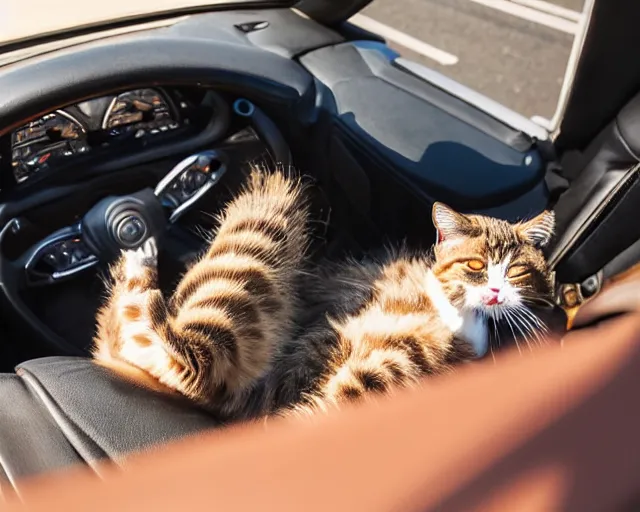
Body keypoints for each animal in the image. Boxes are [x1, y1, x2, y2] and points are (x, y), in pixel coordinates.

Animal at [94, 168, 556, 420]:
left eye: (517, 270)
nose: (495, 290)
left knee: (182, 357)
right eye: (476, 265)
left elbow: (324, 408)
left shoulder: (391, 368)